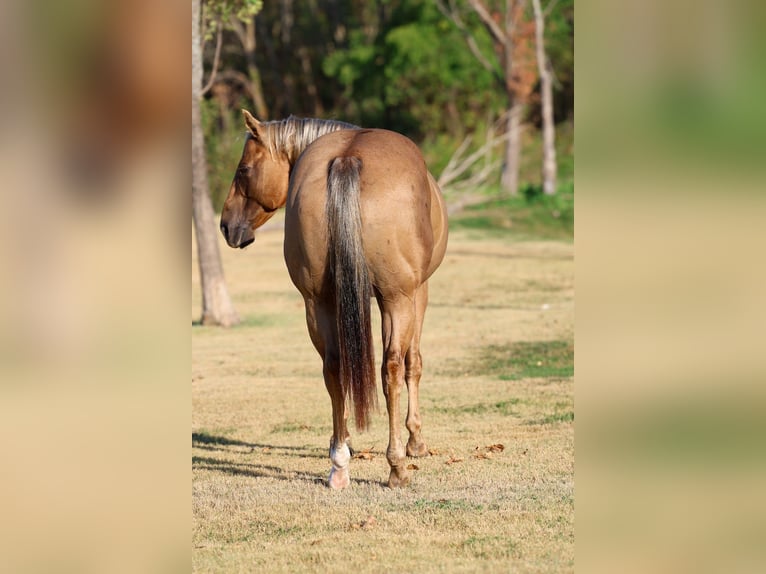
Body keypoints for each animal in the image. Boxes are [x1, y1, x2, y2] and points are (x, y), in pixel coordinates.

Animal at [220, 111, 448, 489]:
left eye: (242, 170)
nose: (226, 226)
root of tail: (346, 157)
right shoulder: (419, 292)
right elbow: (412, 363)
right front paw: (416, 440)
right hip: (396, 298)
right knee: (390, 368)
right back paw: (396, 466)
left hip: (319, 303)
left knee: (334, 367)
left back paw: (339, 464)